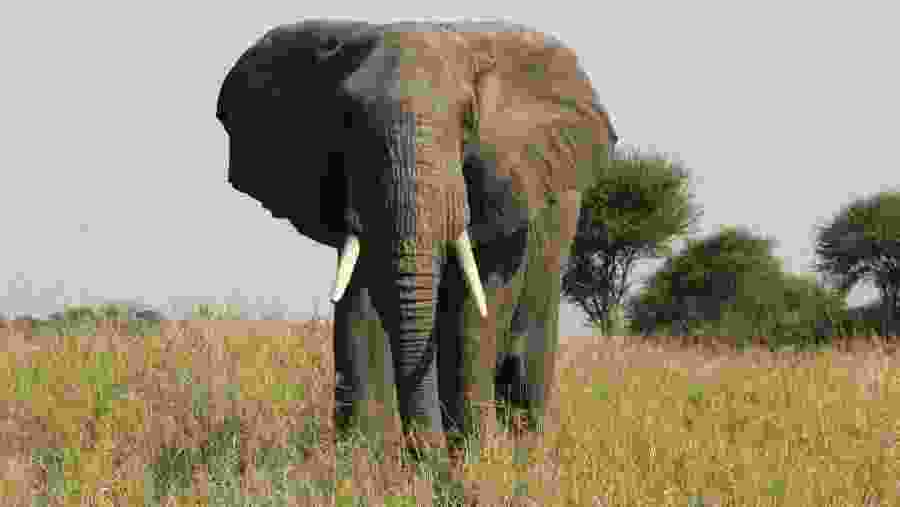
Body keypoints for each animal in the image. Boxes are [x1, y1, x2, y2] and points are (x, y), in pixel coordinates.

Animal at [216, 19, 617, 454]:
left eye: (467, 120)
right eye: (345, 120)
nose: (423, 454)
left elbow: (473, 316)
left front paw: (473, 463)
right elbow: (359, 311)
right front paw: (364, 462)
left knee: (526, 369)